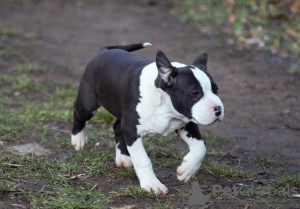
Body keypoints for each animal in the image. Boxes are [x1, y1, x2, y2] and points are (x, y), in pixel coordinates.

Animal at [71, 42, 224, 194]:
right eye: (195, 93)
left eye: (216, 90)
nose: (218, 109)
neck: (165, 104)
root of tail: (102, 51)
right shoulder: (132, 130)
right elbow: (142, 159)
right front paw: (152, 183)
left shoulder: (186, 123)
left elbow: (201, 147)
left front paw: (187, 170)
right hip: (88, 104)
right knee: (78, 113)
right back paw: (78, 138)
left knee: (117, 127)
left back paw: (123, 157)